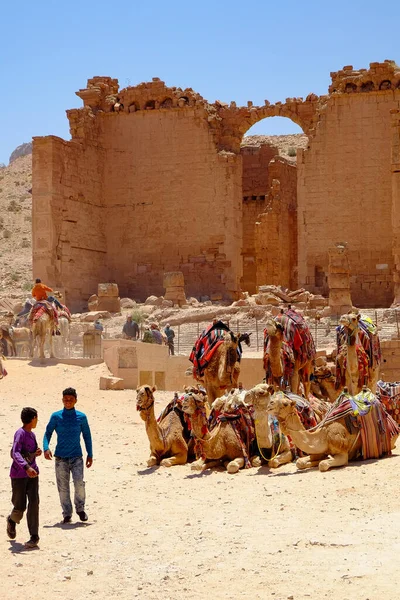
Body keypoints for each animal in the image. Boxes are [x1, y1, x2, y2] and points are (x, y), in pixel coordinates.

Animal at [266, 390, 396, 474]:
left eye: (285, 403)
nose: (270, 404)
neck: (322, 436)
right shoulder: (319, 450)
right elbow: (300, 462)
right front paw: (311, 463)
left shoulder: (342, 452)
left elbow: (323, 464)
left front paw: (320, 462)